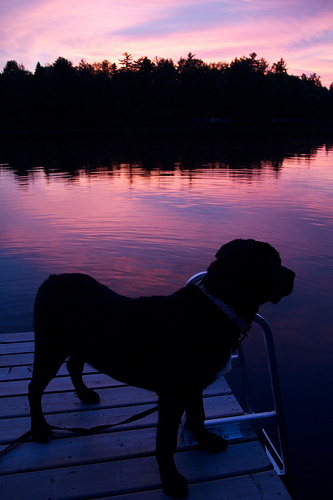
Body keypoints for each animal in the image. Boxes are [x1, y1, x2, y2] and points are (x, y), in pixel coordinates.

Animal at [27, 240, 294, 498]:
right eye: (277, 262)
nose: (292, 274)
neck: (217, 309)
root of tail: (50, 280)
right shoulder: (172, 396)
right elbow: (165, 443)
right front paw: (171, 482)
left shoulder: (193, 388)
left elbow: (198, 417)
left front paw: (206, 443)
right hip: (50, 347)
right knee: (34, 388)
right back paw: (39, 429)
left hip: (80, 345)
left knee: (73, 366)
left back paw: (84, 395)